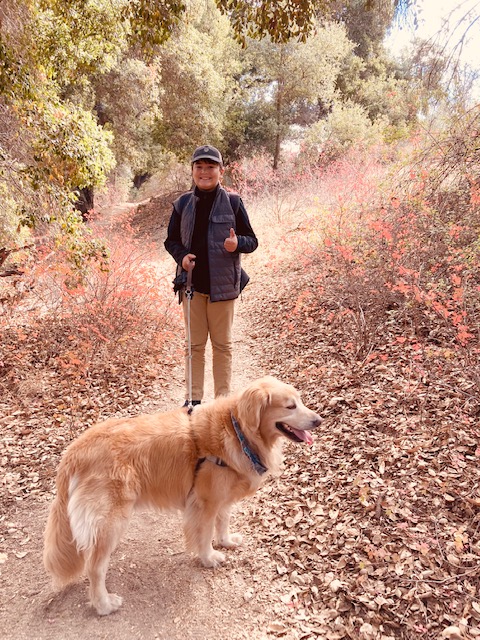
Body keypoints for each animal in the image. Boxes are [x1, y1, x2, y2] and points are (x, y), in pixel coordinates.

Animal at [43, 376, 320, 616]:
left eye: (300, 400)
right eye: (290, 406)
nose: (318, 420)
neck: (237, 431)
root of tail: (74, 451)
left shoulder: (222, 497)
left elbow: (223, 522)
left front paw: (226, 541)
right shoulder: (205, 503)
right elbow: (205, 534)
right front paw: (209, 558)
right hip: (111, 522)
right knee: (95, 568)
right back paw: (104, 604)